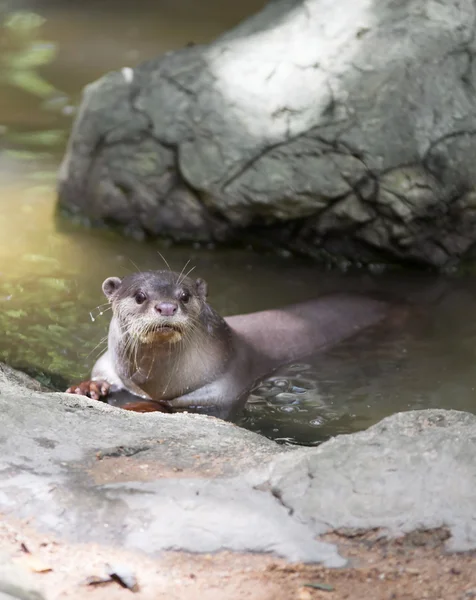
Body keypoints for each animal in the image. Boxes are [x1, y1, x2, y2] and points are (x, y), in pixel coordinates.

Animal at [67, 270, 394, 420]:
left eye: (184, 295)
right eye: (139, 296)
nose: (167, 306)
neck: (152, 382)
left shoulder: (223, 389)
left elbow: (175, 407)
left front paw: (140, 405)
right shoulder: (108, 365)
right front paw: (88, 387)